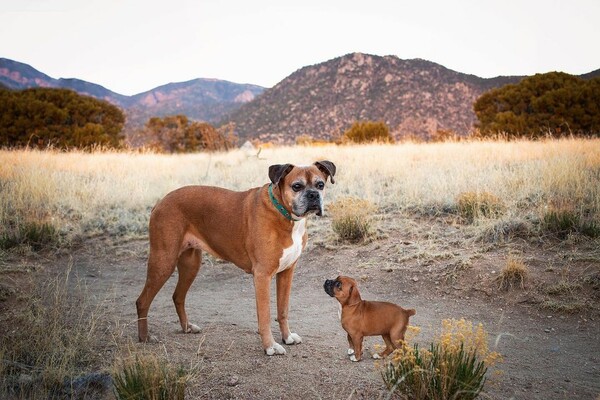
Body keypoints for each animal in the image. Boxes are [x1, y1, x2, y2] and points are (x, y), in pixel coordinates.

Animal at [135, 161, 338, 354]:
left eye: (320, 184)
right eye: (297, 186)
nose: (313, 195)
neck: (283, 212)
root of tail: (160, 201)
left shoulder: (287, 273)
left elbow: (283, 310)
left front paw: (287, 337)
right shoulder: (262, 276)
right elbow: (264, 315)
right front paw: (270, 346)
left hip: (190, 265)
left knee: (178, 296)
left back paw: (186, 328)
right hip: (164, 261)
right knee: (142, 301)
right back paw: (144, 337)